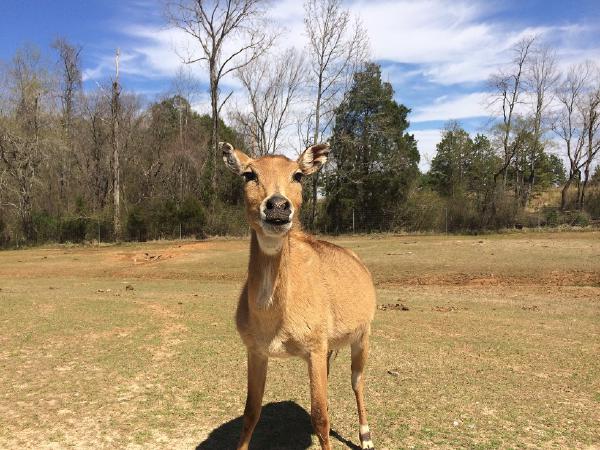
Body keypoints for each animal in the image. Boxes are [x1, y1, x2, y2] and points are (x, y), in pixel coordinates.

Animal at [223, 142, 378, 450]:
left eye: (298, 175)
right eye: (248, 174)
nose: (278, 206)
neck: (273, 319)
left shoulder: (314, 347)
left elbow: (320, 418)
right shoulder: (256, 350)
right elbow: (251, 412)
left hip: (362, 335)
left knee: (357, 380)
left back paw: (366, 437)